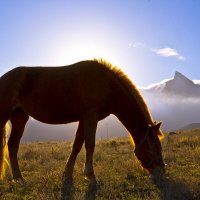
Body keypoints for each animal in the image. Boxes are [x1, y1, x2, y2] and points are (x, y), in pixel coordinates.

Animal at [0, 59, 166, 197]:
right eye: (154, 147)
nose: (162, 172)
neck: (106, 84)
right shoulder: (90, 116)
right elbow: (90, 145)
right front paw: (90, 175)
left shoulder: (83, 119)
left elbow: (77, 145)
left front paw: (67, 175)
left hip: (20, 118)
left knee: (13, 145)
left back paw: (19, 179)